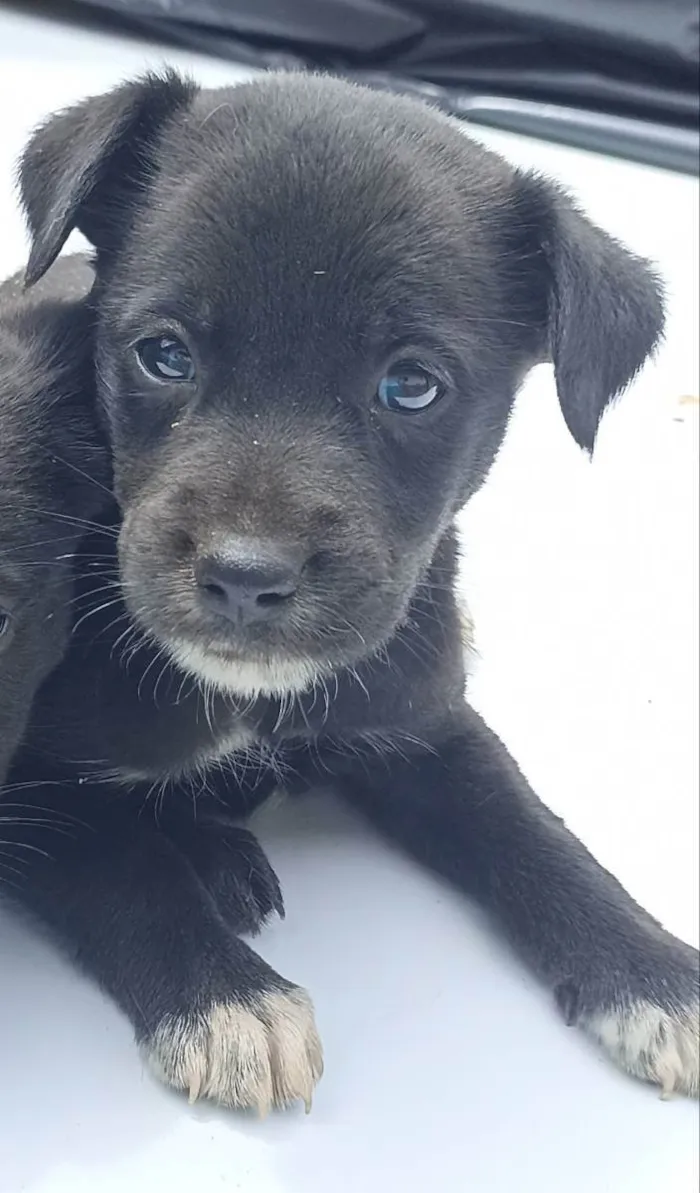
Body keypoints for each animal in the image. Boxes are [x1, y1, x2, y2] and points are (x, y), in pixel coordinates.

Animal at [13, 69, 696, 1102]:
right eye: (163, 353)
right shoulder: (34, 787)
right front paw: (228, 999)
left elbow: (531, 827)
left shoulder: (423, 719)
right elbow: (122, 864)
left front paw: (656, 974)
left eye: (412, 386)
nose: (246, 577)